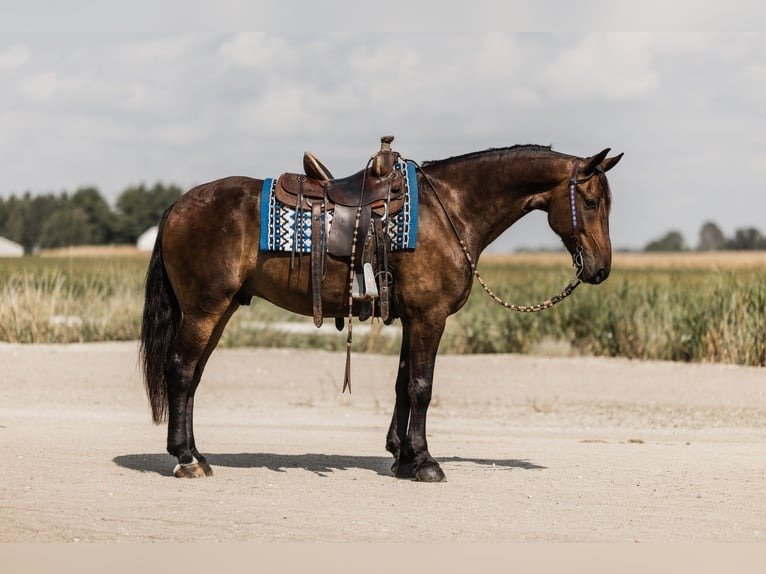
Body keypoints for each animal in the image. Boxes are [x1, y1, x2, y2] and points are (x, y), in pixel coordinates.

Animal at [140, 143, 623, 481]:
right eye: (592, 203)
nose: (600, 269)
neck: (448, 210)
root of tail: (177, 206)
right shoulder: (430, 316)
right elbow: (422, 387)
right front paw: (425, 462)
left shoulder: (413, 318)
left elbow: (403, 385)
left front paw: (402, 456)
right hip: (205, 309)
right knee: (180, 371)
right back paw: (186, 459)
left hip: (218, 311)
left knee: (192, 376)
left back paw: (197, 454)